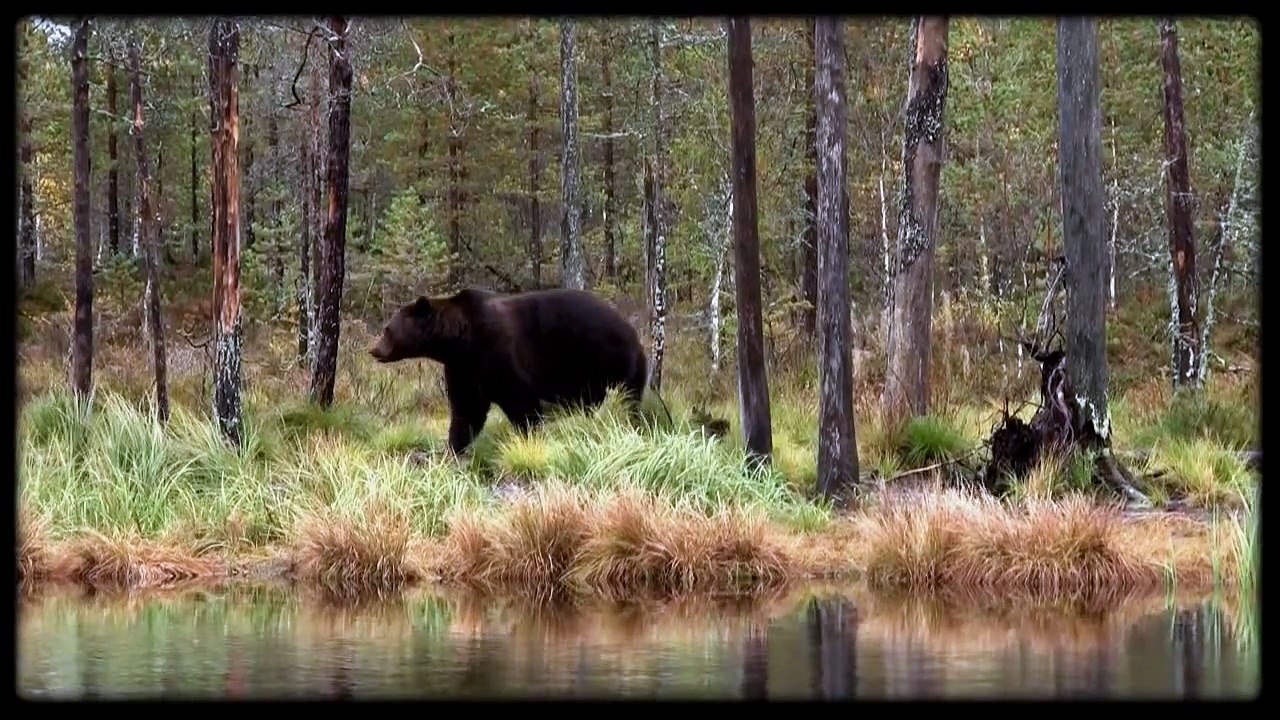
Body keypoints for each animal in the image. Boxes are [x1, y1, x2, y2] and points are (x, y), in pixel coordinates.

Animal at [369, 287, 651, 455]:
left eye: (387, 329)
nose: (373, 350)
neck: (460, 340)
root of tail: (634, 333)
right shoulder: (463, 368)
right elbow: (467, 410)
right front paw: (453, 447)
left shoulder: (497, 353)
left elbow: (520, 401)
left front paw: (530, 437)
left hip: (608, 360)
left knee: (624, 398)